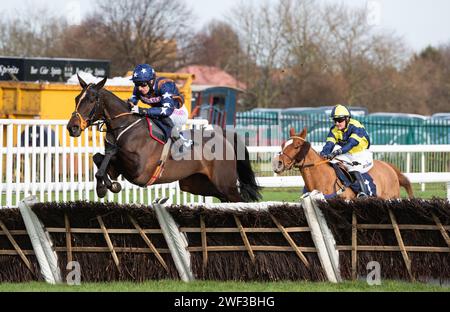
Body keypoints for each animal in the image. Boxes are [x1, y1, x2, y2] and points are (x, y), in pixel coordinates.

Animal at [66, 75, 260, 202]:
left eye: (92, 99)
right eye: (76, 98)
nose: (72, 127)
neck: (125, 126)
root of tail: (225, 137)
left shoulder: (138, 170)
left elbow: (111, 154)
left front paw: (106, 185)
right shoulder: (117, 169)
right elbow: (99, 159)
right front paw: (105, 187)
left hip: (225, 184)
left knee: (239, 200)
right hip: (196, 184)